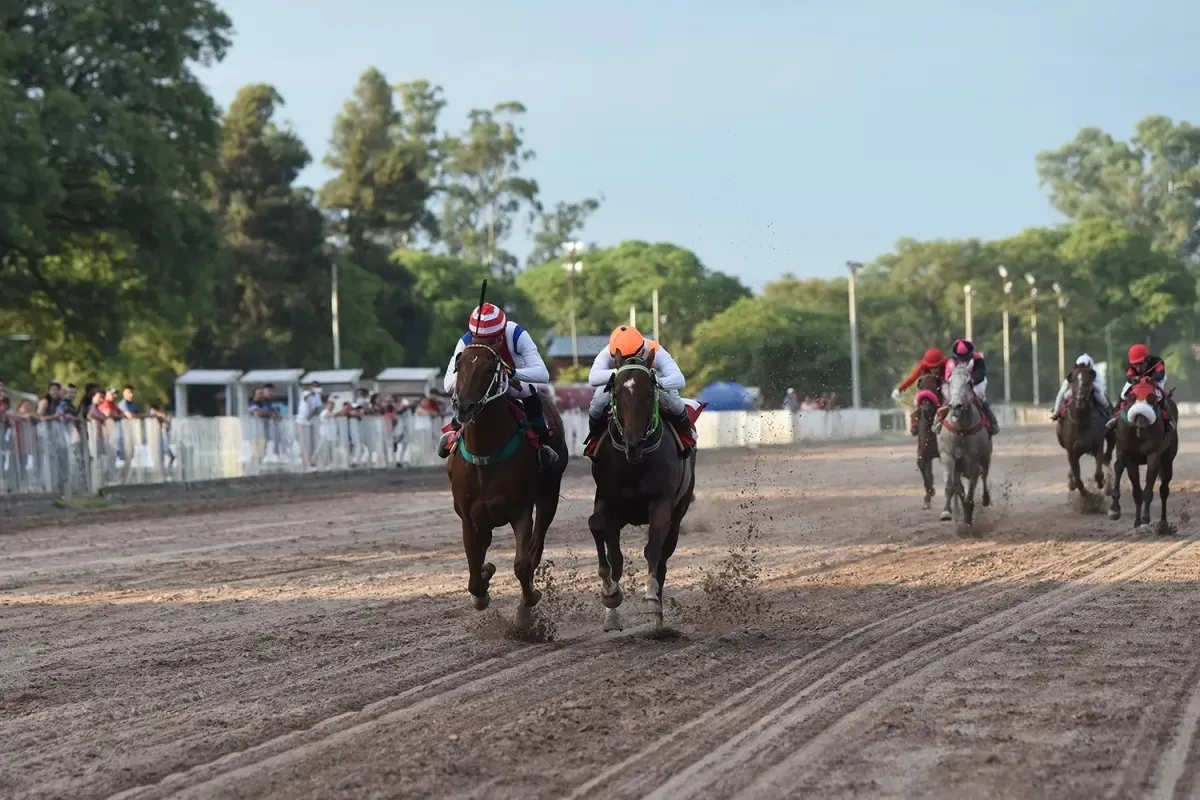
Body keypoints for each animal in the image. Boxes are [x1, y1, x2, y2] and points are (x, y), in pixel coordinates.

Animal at [448, 340, 568, 628]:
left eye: (489, 368)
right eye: (459, 363)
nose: (464, 408)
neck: (485, 455)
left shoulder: (520, 511)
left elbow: (522, 563)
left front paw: (527, 604)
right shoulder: (469, 518)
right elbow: (473, 569)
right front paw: (482, 588)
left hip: (549, 494)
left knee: (537, 543)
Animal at [588, 350, 700, 633]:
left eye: (649, 392)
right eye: (616, 392)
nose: (633, 444)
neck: (634, 463)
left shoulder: (661, 503)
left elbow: (652, 550)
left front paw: (650, 600)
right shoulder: (607, 500)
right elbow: (600, 533)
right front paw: (610, 597)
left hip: (678, 512)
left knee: (663, 558)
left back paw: (658, 619)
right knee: (616, 555)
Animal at [936, 364, 993, 532]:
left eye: (969, 382)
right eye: (949, 381)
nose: (955, 406)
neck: (961, 430)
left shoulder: (973, 458)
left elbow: (972, 486)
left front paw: (968, 515)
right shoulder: (948, 456)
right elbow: (951, 485)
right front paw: (947, 512)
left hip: (987, 455)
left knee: (984, 475)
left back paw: (985, 499)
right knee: (959, 485)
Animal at [1056, 367, 1118, 496]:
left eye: (1088, 380)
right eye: (1073, 380)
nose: (1080, 398)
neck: (1081, 420)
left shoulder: (1097, 445)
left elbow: (1098, 473)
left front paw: (1101, 484)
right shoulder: (1071, 450)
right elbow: (1078, 479)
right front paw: (1086, 494)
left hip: (1111, 434)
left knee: (1107, 456)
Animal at [1104, 376, 1180, 532]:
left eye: (1152, 398)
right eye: (1131, 397)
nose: (1140, 421)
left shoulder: (1153, 456)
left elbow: (1148, 490)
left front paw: (1145, 520)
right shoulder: (1130, 458)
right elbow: (1136, 492)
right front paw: (1133, 519)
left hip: (1167, 460)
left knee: (1164, 490)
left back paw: (1163, 524)